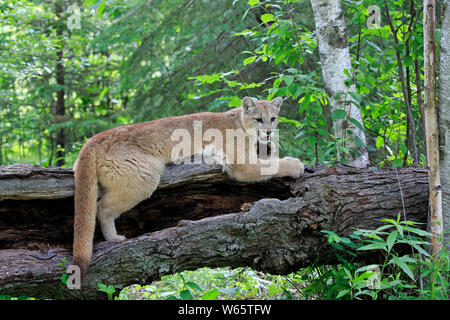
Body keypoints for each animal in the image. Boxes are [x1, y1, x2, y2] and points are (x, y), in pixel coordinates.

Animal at [72, 96, 304, 282]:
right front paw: (296, 165)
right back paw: (113, 238)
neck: (240, 122)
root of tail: (95, 139)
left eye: (273, 118)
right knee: (102, 207)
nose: (269, 132)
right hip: (145, 176)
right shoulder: (242, 164)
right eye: (259, 119)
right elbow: (272, 165)